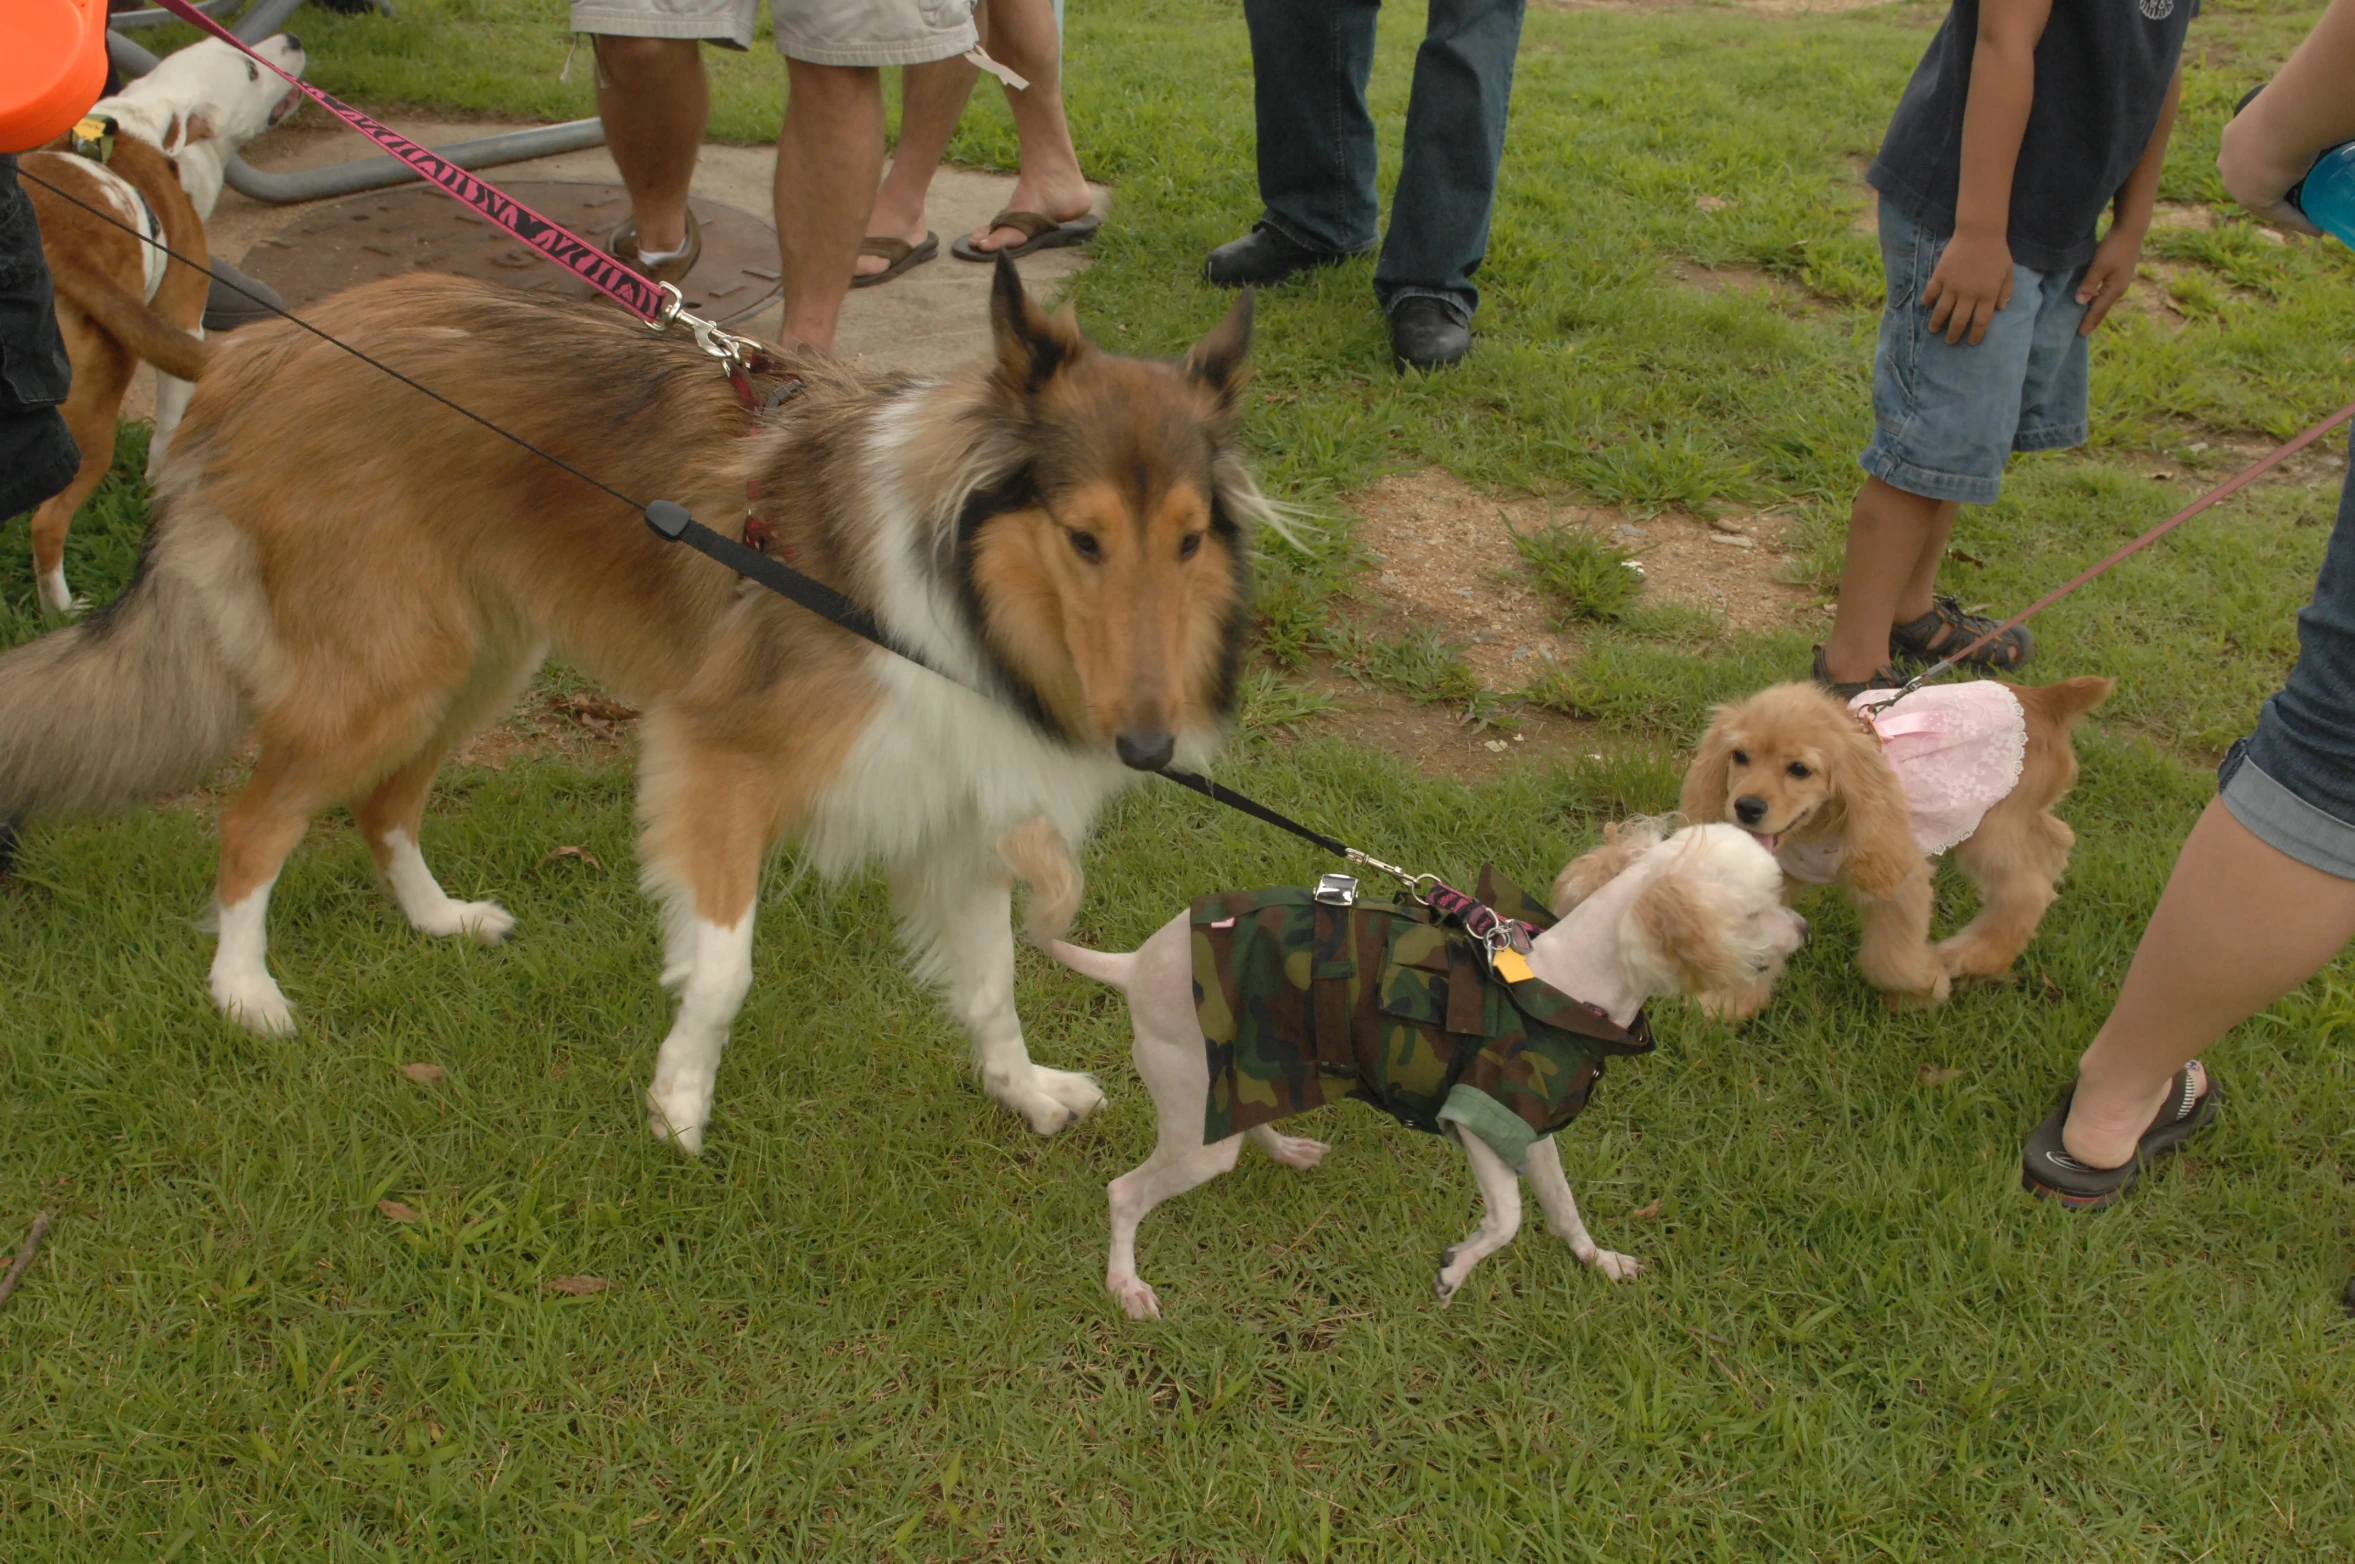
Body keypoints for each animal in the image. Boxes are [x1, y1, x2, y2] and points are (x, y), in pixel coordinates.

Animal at [0, 262, 1271, 1154]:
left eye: (1189, 541)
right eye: (1084, 538)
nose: (1148, 743)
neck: (949, 572)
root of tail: (250, 341)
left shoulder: (954, 795)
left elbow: (993, 979)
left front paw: (1023, 1090)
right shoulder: (719, 754)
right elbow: (722, 968)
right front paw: (678, 1103)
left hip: (477, 655)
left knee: (381, 807)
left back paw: (438, 919)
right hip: (387, 667)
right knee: (255, 817)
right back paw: (246, 992)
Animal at [1022, 819, 1808, 1319]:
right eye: (1756, 911)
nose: (1803, 928)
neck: (1561, 984)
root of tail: (1131, 967)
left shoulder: (1533, 1131)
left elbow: (1562, 1210)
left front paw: (1598, 1262)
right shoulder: (1477, 1124)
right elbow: (1508, 1218)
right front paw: (1455, 1270)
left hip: (1250, 1078)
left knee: (1247, 1124)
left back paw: (1287, 1150)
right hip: (1193, 1129)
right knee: (1126, 1193)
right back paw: (1125, 1284)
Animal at [1676, 678, 2119, 1008]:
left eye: (1800, 769)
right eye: (1739, 756)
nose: (1747, 806)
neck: (1815, 828)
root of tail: (2044, 699)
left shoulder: (1900, 881)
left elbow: (1888, 960)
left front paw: (1925, 988)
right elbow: (1757, 941)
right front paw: (1730, 1003)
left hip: (1990, 830)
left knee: (2027, 890)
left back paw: (1971, 956)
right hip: (2009, 819)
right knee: (2056, 838)